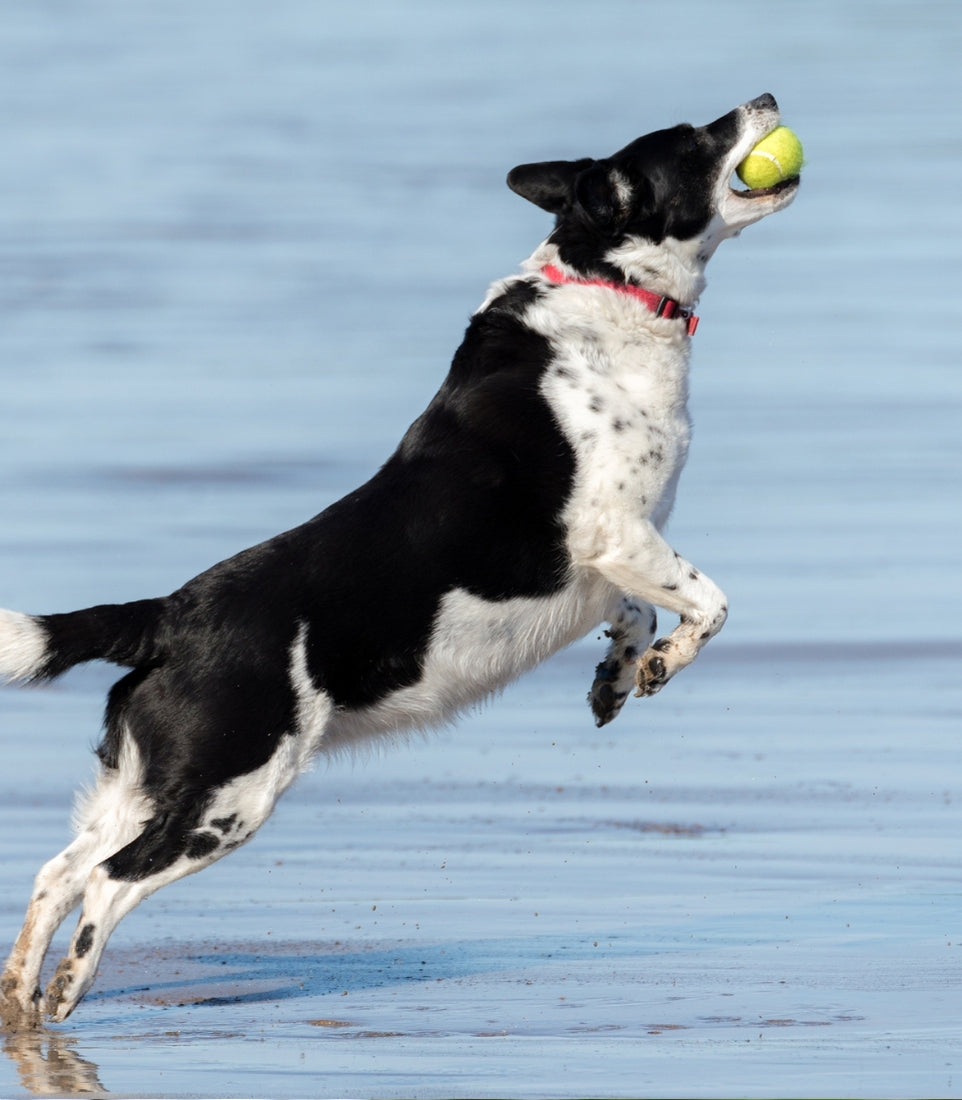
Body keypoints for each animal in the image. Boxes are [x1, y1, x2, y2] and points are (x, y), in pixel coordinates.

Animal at [0, 93, 798, 1027]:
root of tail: (169, 614)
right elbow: (710, 602)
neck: (608, 287)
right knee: (104, 881)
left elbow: (634, 613)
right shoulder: (615, 533)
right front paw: (665, 661)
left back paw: (20, 999)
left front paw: (617, 679)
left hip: (144, 784)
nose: (765, 99)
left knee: (55, 874)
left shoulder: (608, 566)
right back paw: (67, 988)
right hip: (228, 793)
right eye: (701, 136)